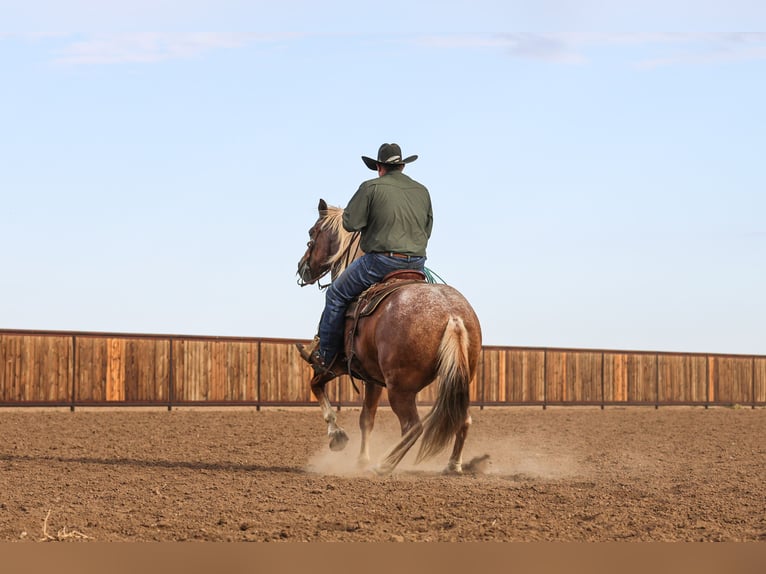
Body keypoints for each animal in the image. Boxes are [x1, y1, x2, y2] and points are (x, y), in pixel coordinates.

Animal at [296, 198, 482, 475]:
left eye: (312, 233)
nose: (302, 268)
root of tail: (452, 315)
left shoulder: (334, 364)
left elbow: (316, 385)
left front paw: (337, 437)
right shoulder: (371, 378)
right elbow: (366, 418)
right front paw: (361, 459)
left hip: (400, 389)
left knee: (413, 427)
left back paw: (384, 464)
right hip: (461, 379)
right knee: (463, 419)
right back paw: (452, 465)